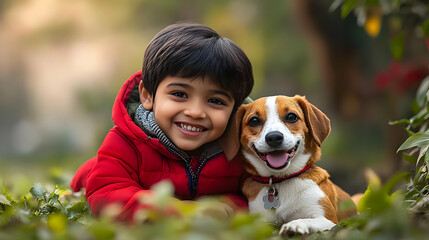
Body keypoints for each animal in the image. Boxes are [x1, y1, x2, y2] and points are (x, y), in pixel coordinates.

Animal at [231, 95, 354, 234]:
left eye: (291, 117)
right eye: (254, 121)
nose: (274, 137)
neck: (280, 180)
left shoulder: (328, 219)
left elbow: (306, 220)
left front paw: (294, 225)